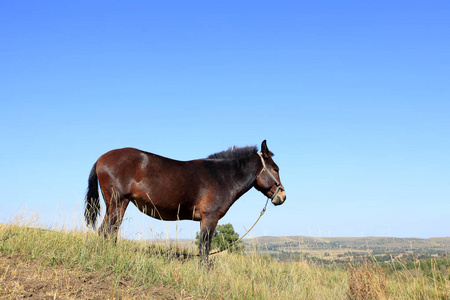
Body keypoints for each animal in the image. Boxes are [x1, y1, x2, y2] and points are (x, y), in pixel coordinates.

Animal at [86, 140, 286, 260]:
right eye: (275, 169)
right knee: (108, 231)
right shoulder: (210, 218)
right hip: (118, 203)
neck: (221, 177)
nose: (282, 197)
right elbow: (204, 247)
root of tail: (101, 158)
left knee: (107, 232)